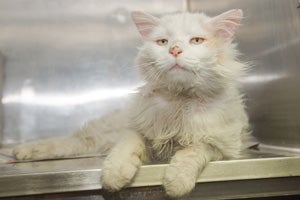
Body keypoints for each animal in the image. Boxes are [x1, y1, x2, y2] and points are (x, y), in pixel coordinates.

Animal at [12, 9, 252, 197]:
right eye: (163, 42)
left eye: (196, 40)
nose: (174, 50)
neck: (179, 99)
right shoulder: (136, 128)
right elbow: (126, 148)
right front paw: (114, 176)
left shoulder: (223, 145)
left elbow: (191, 153)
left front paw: (176, 183)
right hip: (100, 134)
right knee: (67, 142)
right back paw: (22, 151)